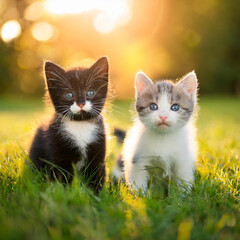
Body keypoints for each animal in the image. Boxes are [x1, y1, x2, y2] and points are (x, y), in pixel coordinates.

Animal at [29, 56, 109, 193]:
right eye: (69, 94)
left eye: (90, 93)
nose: (81, 103)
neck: (80, 124)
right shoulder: (56, 145)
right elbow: (61, 175)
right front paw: (62, 192)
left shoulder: (98, 148)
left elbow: (95, 174)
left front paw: (95, 194)